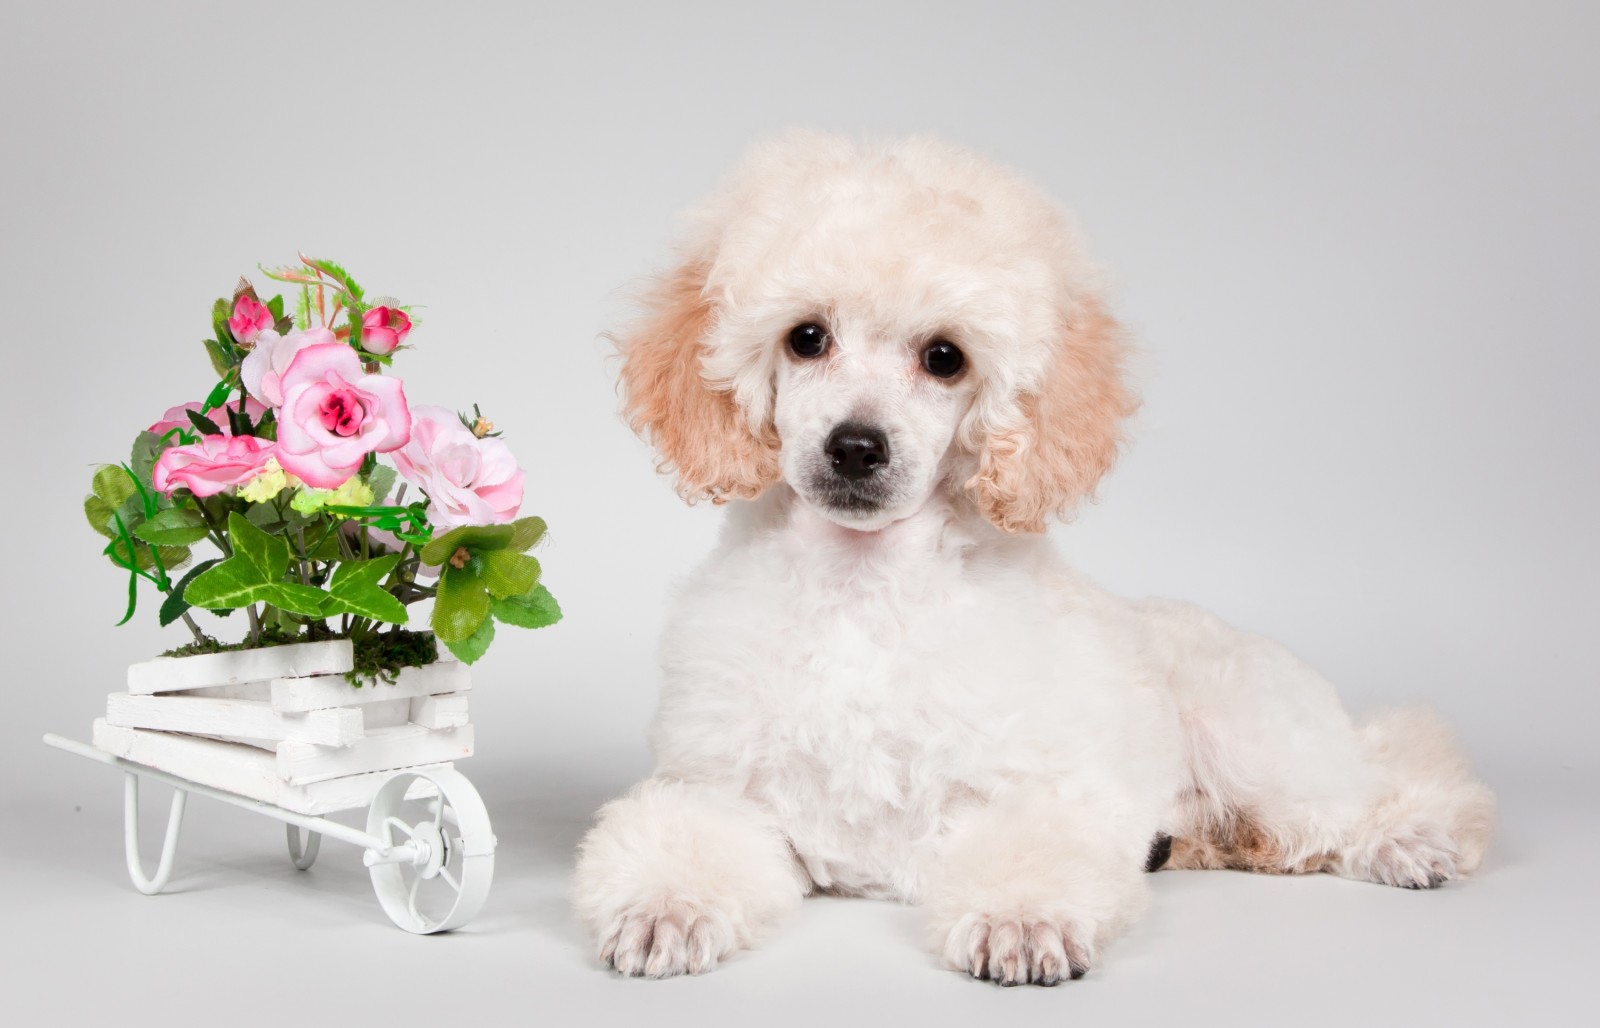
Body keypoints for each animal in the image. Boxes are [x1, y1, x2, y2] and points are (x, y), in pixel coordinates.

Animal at [576, 132, 1497, 979]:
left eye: (945, 358)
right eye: (807, 338)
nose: (857, 447)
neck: (865, 590)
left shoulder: (1034, 791)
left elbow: (1032, 852)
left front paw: (1020, 924)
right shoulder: (722, 790)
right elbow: (686, 838)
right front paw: (665, 909)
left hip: (1261, 744)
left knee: (1381, 781)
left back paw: (1409, 837)